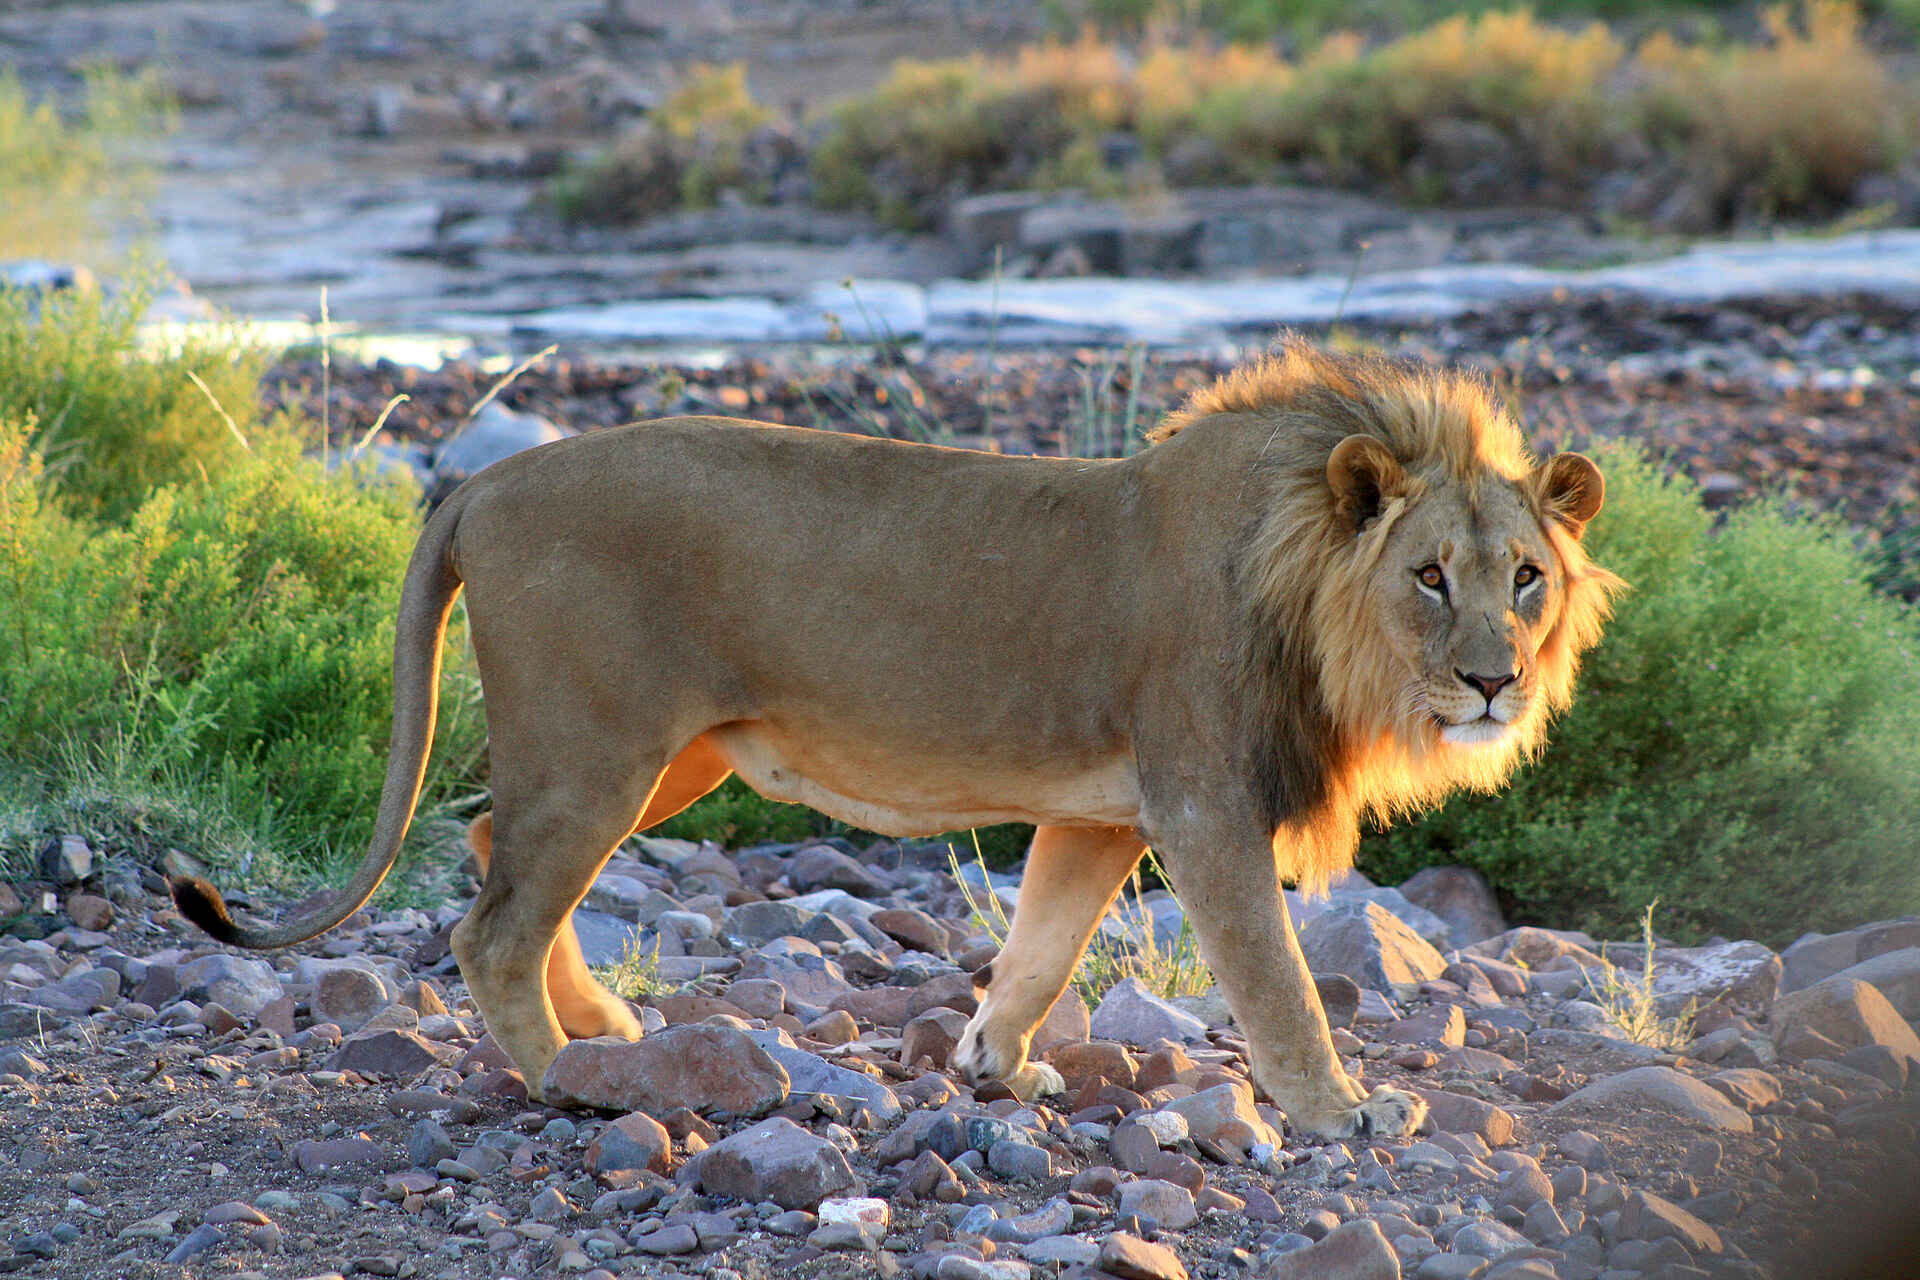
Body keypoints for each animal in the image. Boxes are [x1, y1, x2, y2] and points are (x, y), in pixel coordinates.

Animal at [174, 340, 1622, 1140]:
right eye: (1430, 576)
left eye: (1526, 579)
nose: (1494, 684)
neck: (1307, 582)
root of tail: (481, 479)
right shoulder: (1206, 802)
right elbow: (1278, 983)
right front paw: (1337, 1111)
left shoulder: (1104, 811)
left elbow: (1042, 946)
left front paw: (996, 1066)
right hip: (602, 749)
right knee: (491, 925)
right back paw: (573, 1083)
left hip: (670, 757)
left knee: (490, 850)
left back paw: (607, 1032)